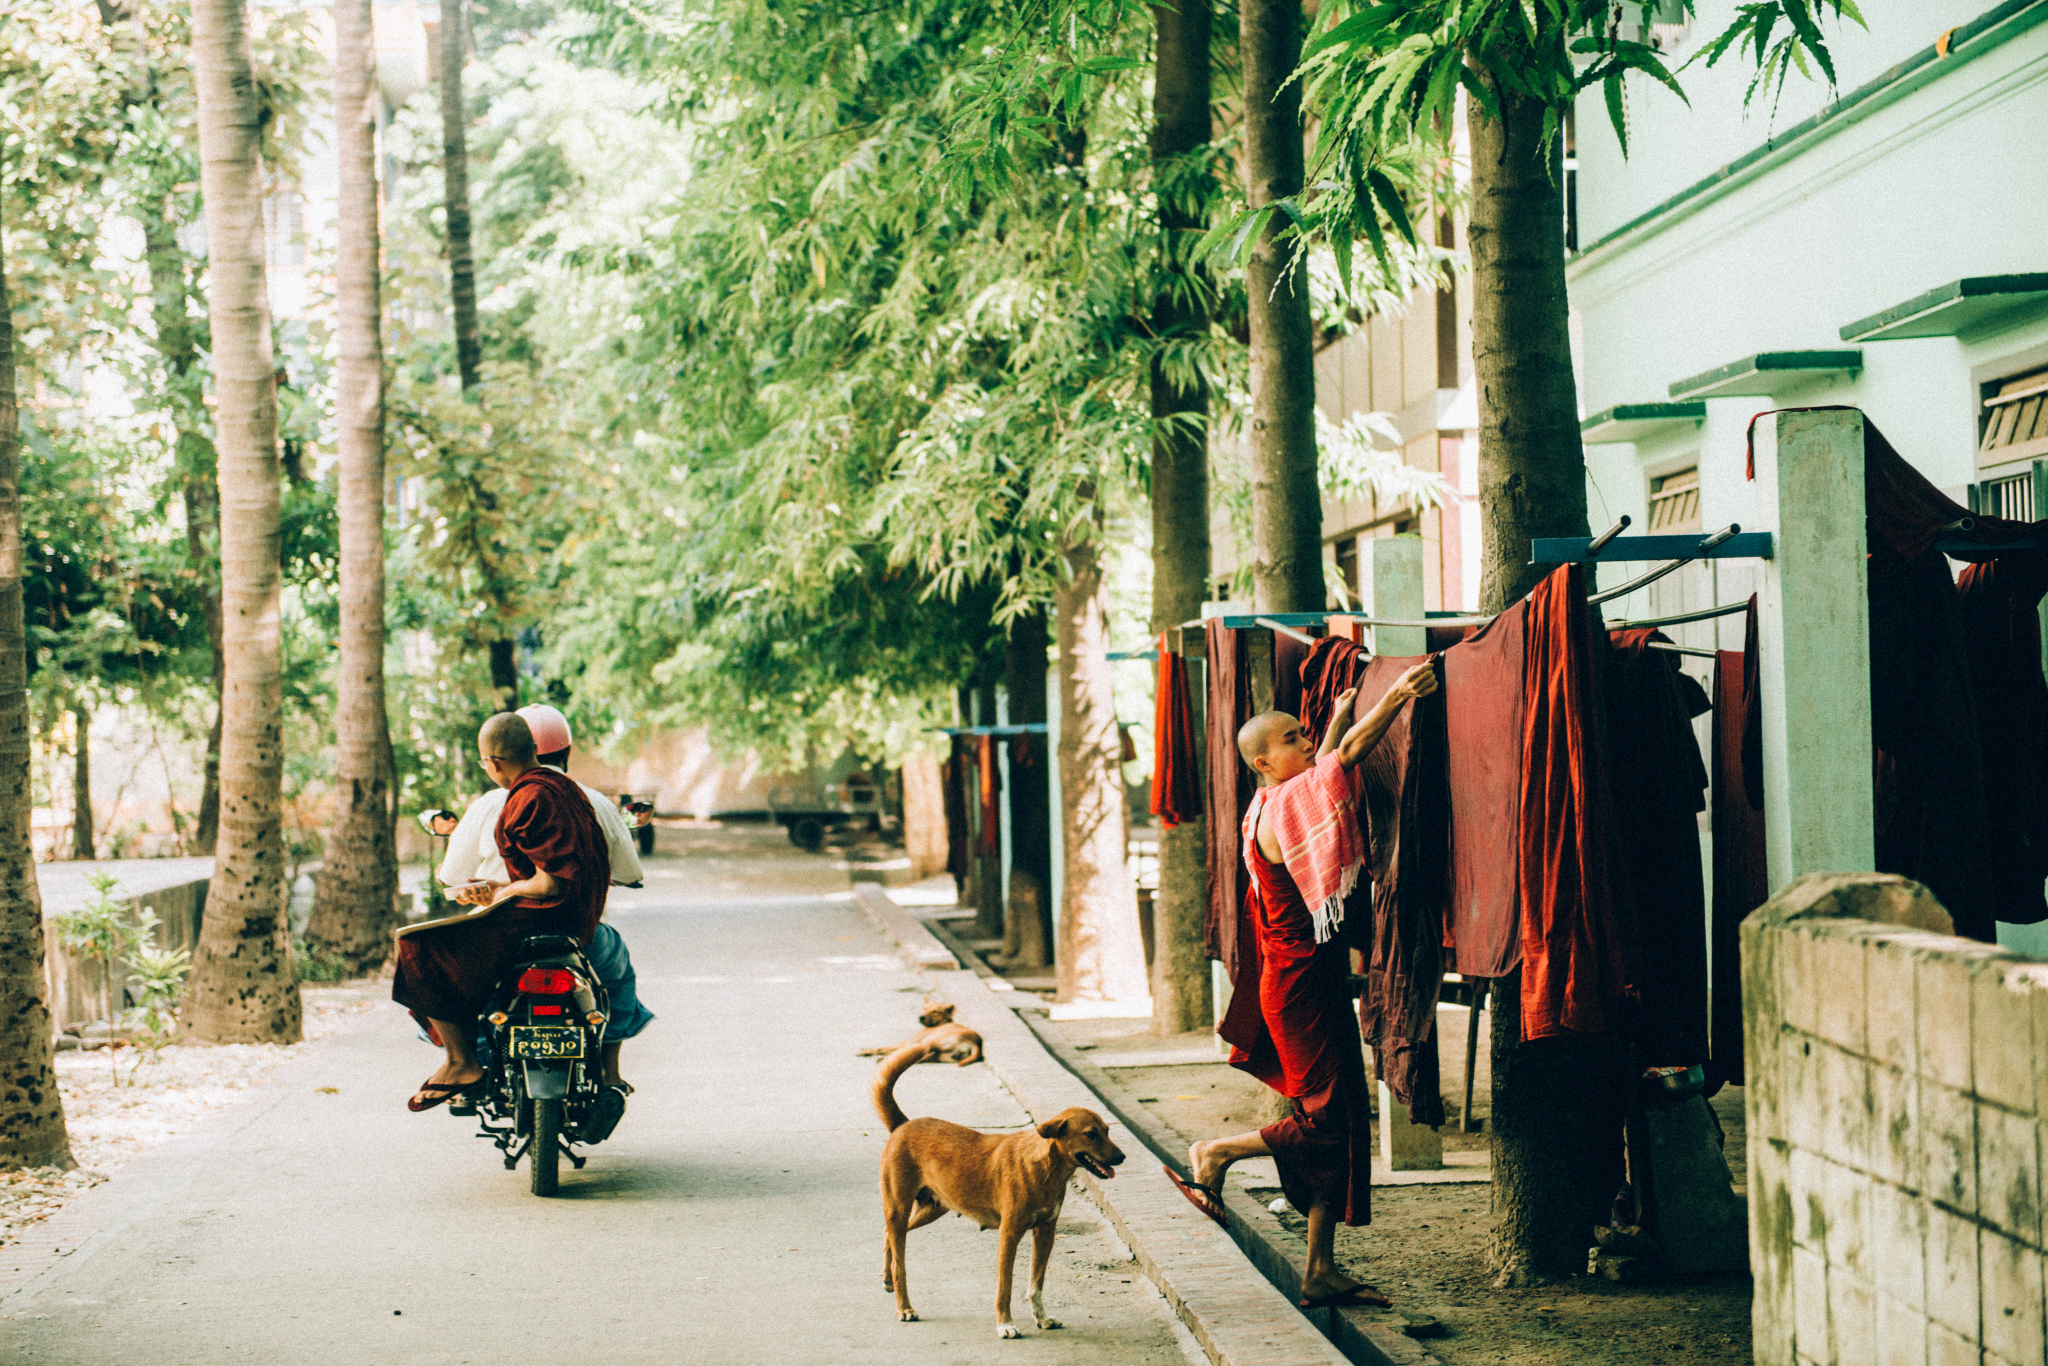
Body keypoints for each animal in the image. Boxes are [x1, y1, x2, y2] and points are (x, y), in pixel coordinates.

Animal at [864, 1040, 1122, 1343]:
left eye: (1107, 1131)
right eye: (1091, 1134)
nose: (1122, 1157)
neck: (1045, 1169)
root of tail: (903, 1124)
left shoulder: (1045, 1233)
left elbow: (1036, 1284)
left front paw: (1042, 1319)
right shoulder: (1008, 1235)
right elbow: (1005, 1286)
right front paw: (1005, 1324)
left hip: (930, 1209)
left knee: (887, 1235)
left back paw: (887, 1279)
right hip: (899, 1207)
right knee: (900, 1264)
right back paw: (904, 1306)